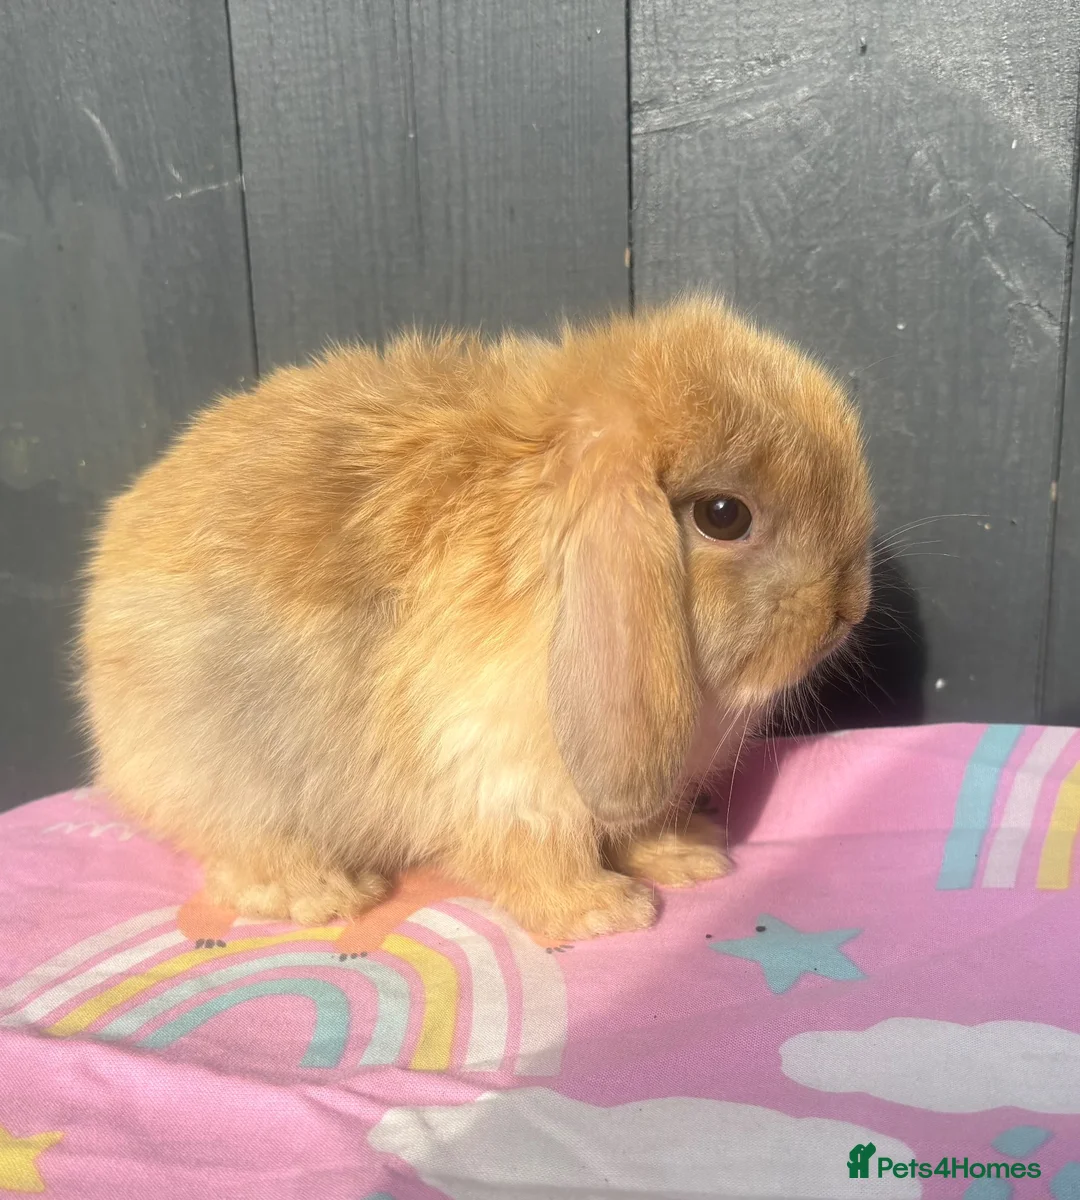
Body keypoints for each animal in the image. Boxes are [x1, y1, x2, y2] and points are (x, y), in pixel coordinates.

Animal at [78, 295, 873, 941]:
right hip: (236, 785)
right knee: (245, 856)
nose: (848, 609)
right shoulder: (504, 772)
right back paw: (331, 894)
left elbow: (635, 826)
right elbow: (535, 855)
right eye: (723, 515)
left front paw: (689, 854)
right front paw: (606, 911)